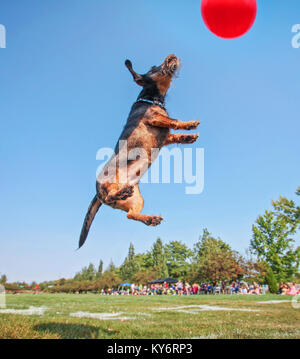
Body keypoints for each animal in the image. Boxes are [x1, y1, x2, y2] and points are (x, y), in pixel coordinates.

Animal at [78, 54, 199, 249]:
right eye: (154, 67)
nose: (172, 56)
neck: (151, 99)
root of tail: (96, 193)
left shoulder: (166, 138)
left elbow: (176, 135)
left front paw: (187, 137)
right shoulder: (154, 118)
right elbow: (173, 120)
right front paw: (189, 123)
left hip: (137, 199)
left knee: (130, 215)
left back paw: (150, 218)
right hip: (109, 184)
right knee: (110, 197)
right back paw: (120, 193)